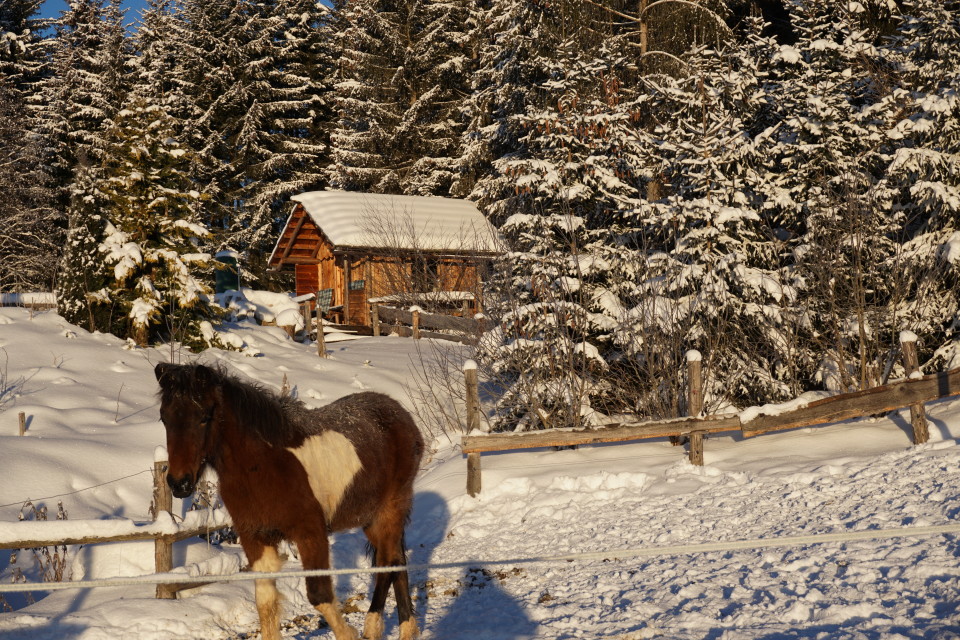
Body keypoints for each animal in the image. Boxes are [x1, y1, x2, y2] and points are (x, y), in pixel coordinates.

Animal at [155, 364, 424, 640]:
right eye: (164, 418)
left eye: (204, 417)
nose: (179, 483)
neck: (265, 466)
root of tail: (400, 414)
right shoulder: (255, 537)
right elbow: (265, 602)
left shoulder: (311, 534)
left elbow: (319, 595)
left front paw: (348, 633)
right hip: (370, 520)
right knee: (394, 561)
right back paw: (400, 629)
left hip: (390, 510)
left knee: (389, 563)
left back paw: (376, 627)